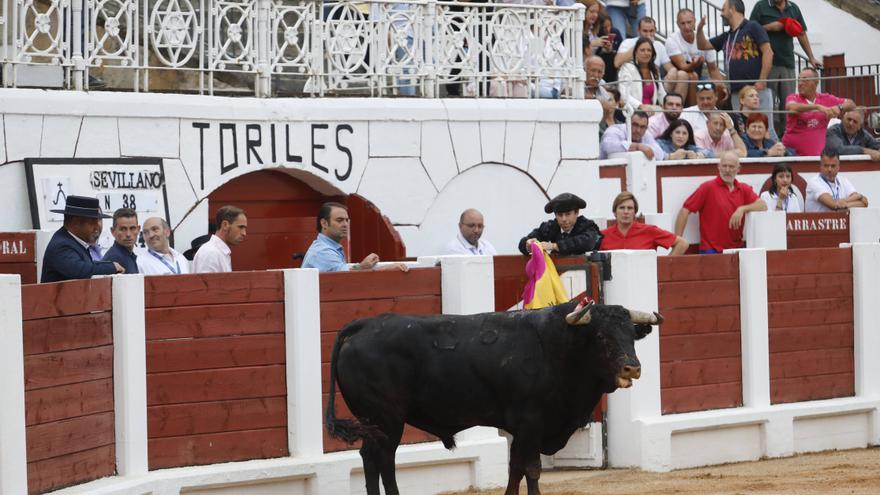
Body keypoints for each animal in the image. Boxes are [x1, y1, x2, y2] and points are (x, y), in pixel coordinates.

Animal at [324, 302, 660, 495]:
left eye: (632, 335)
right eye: (601, 336)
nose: (633, 367)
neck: (558, 347)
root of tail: (361, 326)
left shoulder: (523, 430)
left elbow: (515, 469)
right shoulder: (531, 423)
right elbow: (532, 469)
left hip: (374, 422)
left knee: (371, 458)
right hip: (386, 418)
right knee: (383, 459)